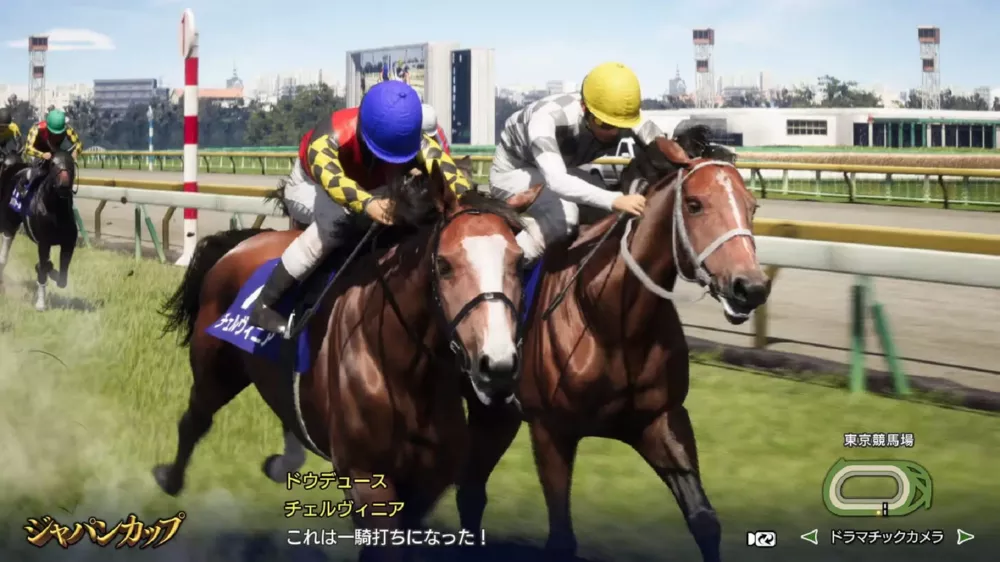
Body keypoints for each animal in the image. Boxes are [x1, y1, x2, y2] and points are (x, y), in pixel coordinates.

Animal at [0, 150, 78, 311]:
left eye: (71, 164)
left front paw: (52, 271)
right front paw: (41, 304)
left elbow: (62, 279)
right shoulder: (44, 243)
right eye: (53, 164)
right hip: (10, 222)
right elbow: (42, 270)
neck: (56, 211)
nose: (64, 184)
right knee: (5, 248)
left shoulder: (68, 243)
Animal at [157, 161, 540, 561]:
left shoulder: (429, 480)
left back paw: (279, 464)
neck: (405, 371)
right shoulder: (365, 477)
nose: (496, 364)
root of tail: (242, 242)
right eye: (445, 264)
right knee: (195, 419)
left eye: (520, 263)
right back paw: (170, 479)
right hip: (216, 368)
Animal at [454, 126, 771, 562]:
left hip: (497, 413)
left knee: (470, 491)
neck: (612, 321)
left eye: (752, 206)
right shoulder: (551, 430)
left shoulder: (661, 419)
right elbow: (561, 538)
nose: (750, 287)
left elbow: (705, 520)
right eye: (694, 204)